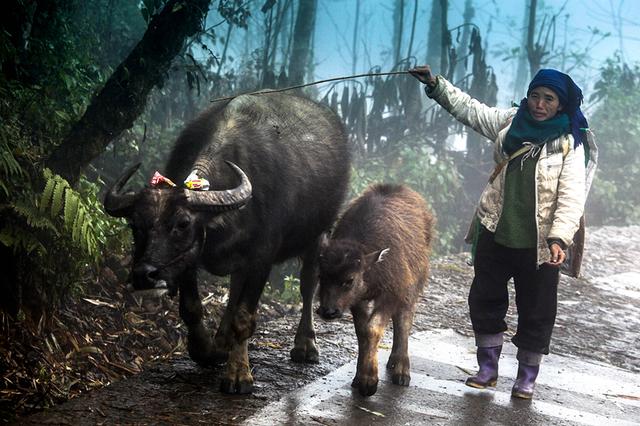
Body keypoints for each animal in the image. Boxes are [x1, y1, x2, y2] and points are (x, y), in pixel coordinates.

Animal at [104, 92, 350, 392]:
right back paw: (222, 342)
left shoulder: (262, 256)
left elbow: (244, 317)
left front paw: (238, 374)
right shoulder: (188, 257)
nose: (144, 274)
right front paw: (205, 350)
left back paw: (305, 345)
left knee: (307, 284)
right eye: (135, 225)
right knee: (234, 289)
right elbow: (192, 308)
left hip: (320, 233)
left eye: (182, 224)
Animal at [316, 183, 432, 396]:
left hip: (412, 286)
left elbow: (373, 329)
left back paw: (401, 368)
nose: (328, 311)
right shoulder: (357, 300)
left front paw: (369, 381)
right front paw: (359, 377)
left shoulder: (393, 294)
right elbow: (362, 332)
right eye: (321, 276)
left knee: (404, 319)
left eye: (349, 280)